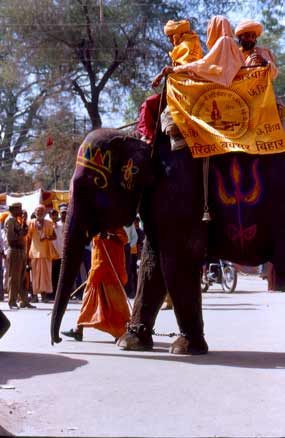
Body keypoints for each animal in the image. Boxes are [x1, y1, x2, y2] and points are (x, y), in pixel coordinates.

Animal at [50, 125, 284, 354]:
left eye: (94, 183)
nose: (57, 340)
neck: (143, 138)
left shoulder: (178, 190)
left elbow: (178, 257)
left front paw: (184, 348)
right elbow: (151, 263)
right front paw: (130, 342)